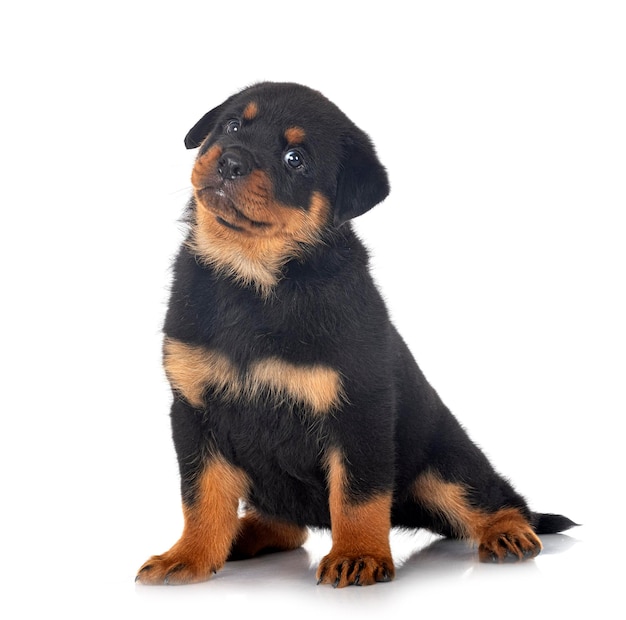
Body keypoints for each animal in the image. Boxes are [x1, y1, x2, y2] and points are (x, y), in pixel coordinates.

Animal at [134, 81, 572, 588]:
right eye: (233, 125)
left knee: (495, 497)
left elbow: (357, 495)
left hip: (444, 464)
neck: (254, 278)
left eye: (295, 159)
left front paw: (358, 554)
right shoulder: (193, 410)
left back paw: (509, 533)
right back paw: (243, 535)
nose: (230, 161)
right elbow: (201, 496)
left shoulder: (360, 410)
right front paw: (188, 555)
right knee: (286, 525)